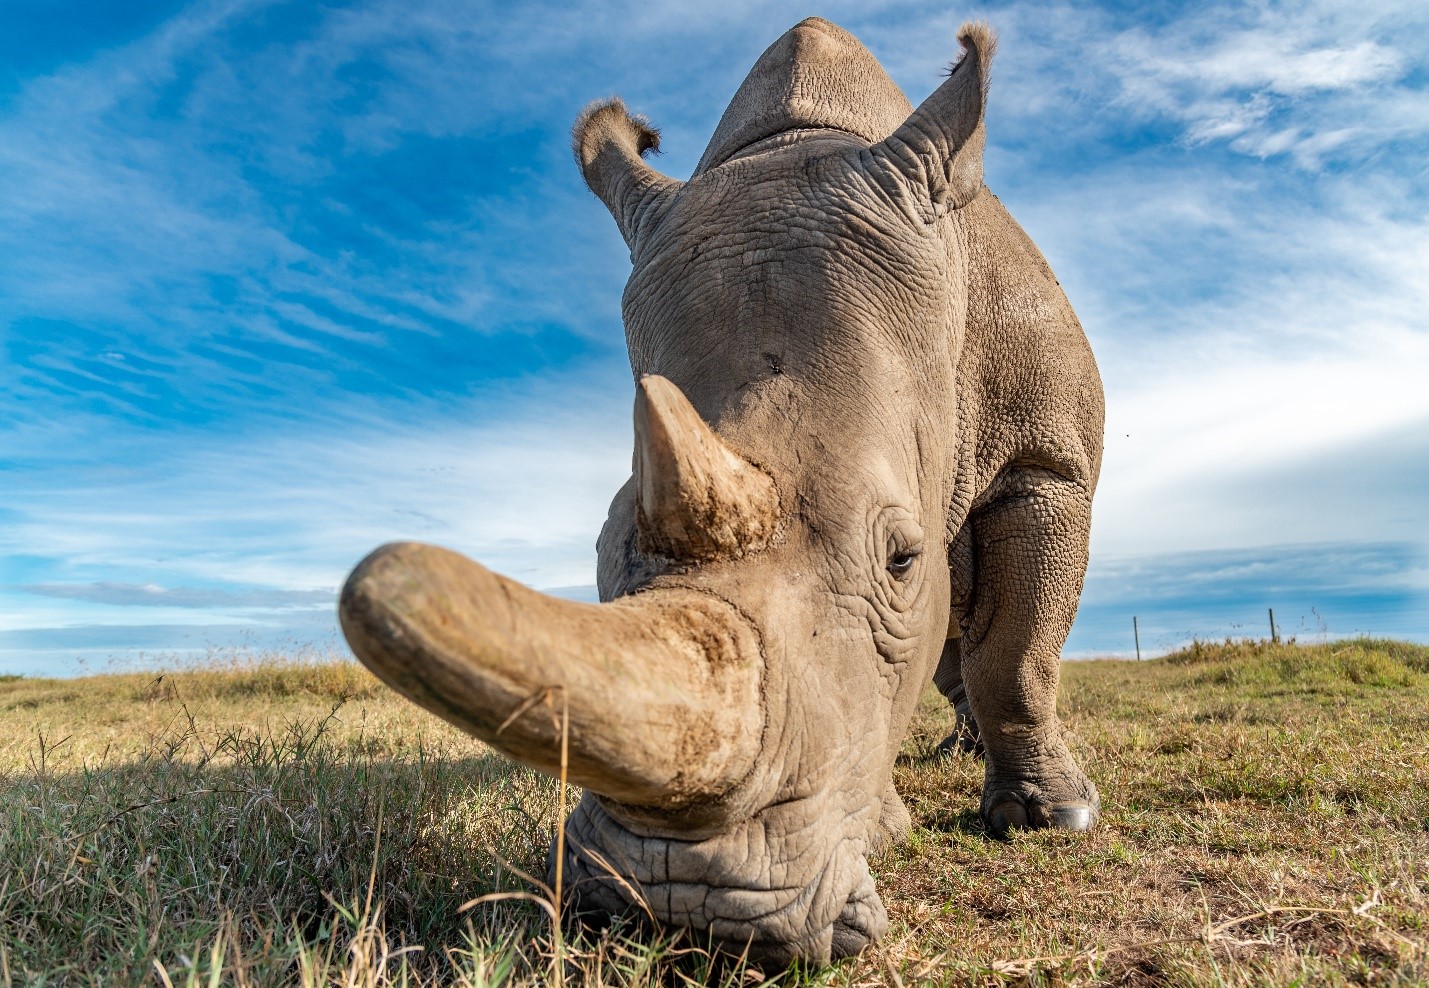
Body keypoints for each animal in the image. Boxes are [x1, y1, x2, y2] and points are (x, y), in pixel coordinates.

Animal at [337, 17, 1103, 966]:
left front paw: (1051, 821)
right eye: (600, 549)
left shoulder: (1048, 460)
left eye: (900, 559)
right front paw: (888, 826)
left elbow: (1017, 651)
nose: (685, 905)